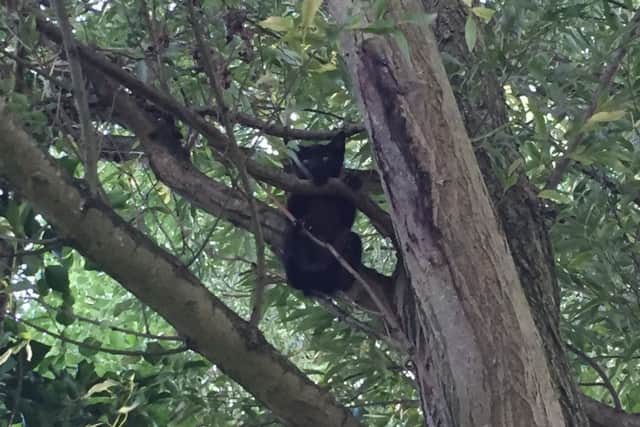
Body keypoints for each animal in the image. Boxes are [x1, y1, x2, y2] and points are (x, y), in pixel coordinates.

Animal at [282, 132, 362, 296]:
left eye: (325, 157)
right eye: (306, 160)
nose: (315, 167)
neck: (320, 195)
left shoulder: (345, 215)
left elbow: (347, 216)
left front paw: (352, 181)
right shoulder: (294, 198)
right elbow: (292, 210)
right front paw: (303, 221)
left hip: (351, 241)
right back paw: (301, 229)